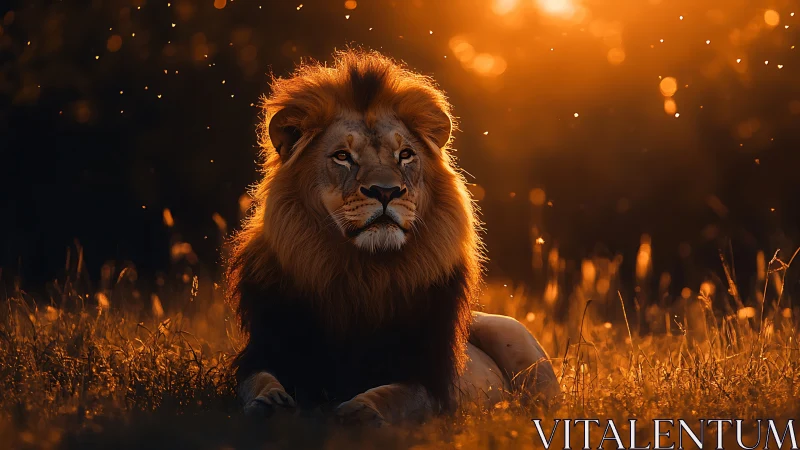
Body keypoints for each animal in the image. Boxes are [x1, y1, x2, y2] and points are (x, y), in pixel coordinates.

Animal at [227, 49, 559, 426]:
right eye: (342, 156)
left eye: (405, 155)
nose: (385, 191)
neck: (363, 272)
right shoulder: (265, 349)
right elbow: (258, 380)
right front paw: (270, 403)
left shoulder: (430, 379)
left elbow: (394, 396)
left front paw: (358, 411)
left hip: (517, 338)